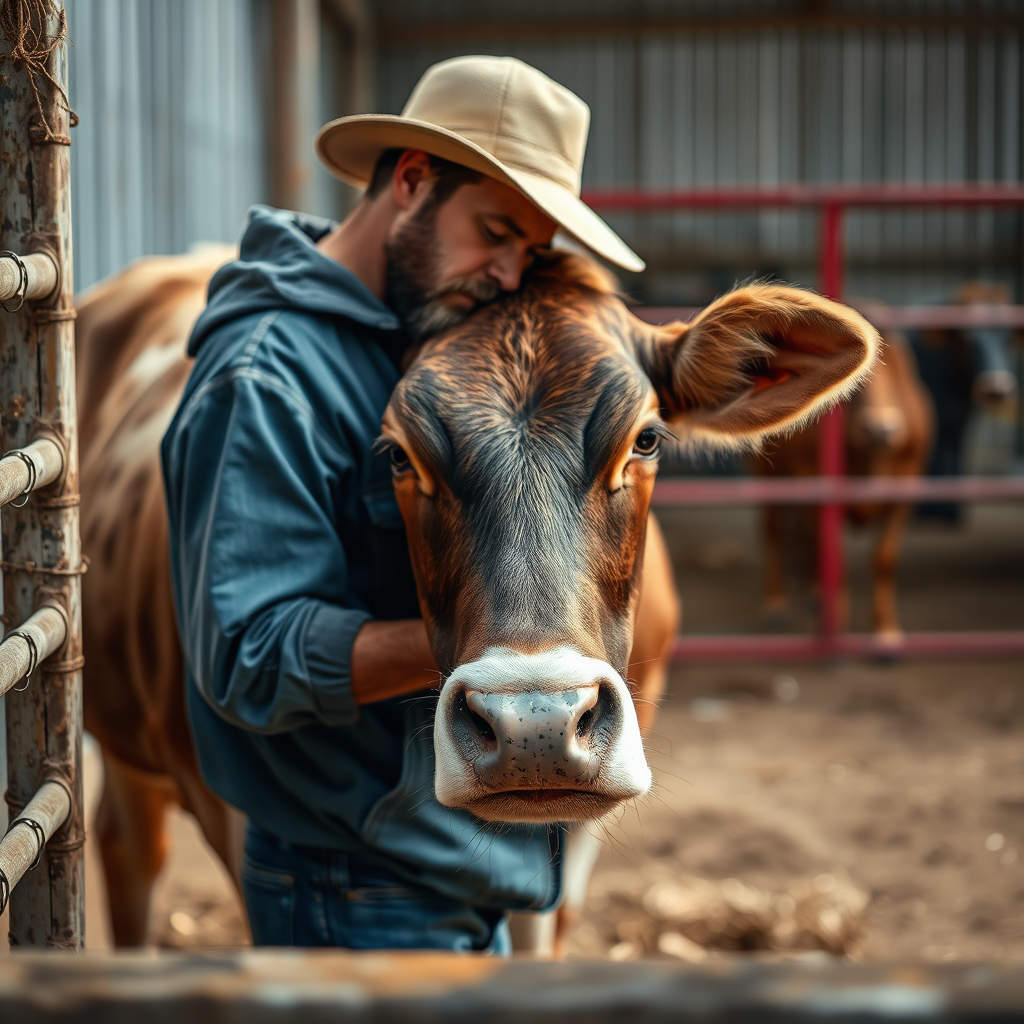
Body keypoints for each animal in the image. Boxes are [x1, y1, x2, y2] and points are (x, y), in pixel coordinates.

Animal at [752, 322, 933, 638]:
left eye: (898, 375)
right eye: (856, 385)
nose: (879, 430)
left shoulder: (907, 488)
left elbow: (884, 557)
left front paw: (885, 629)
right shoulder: (812, 481)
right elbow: (832, 553)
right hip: (765, 472)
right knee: (774, 529)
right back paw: (777, 602)